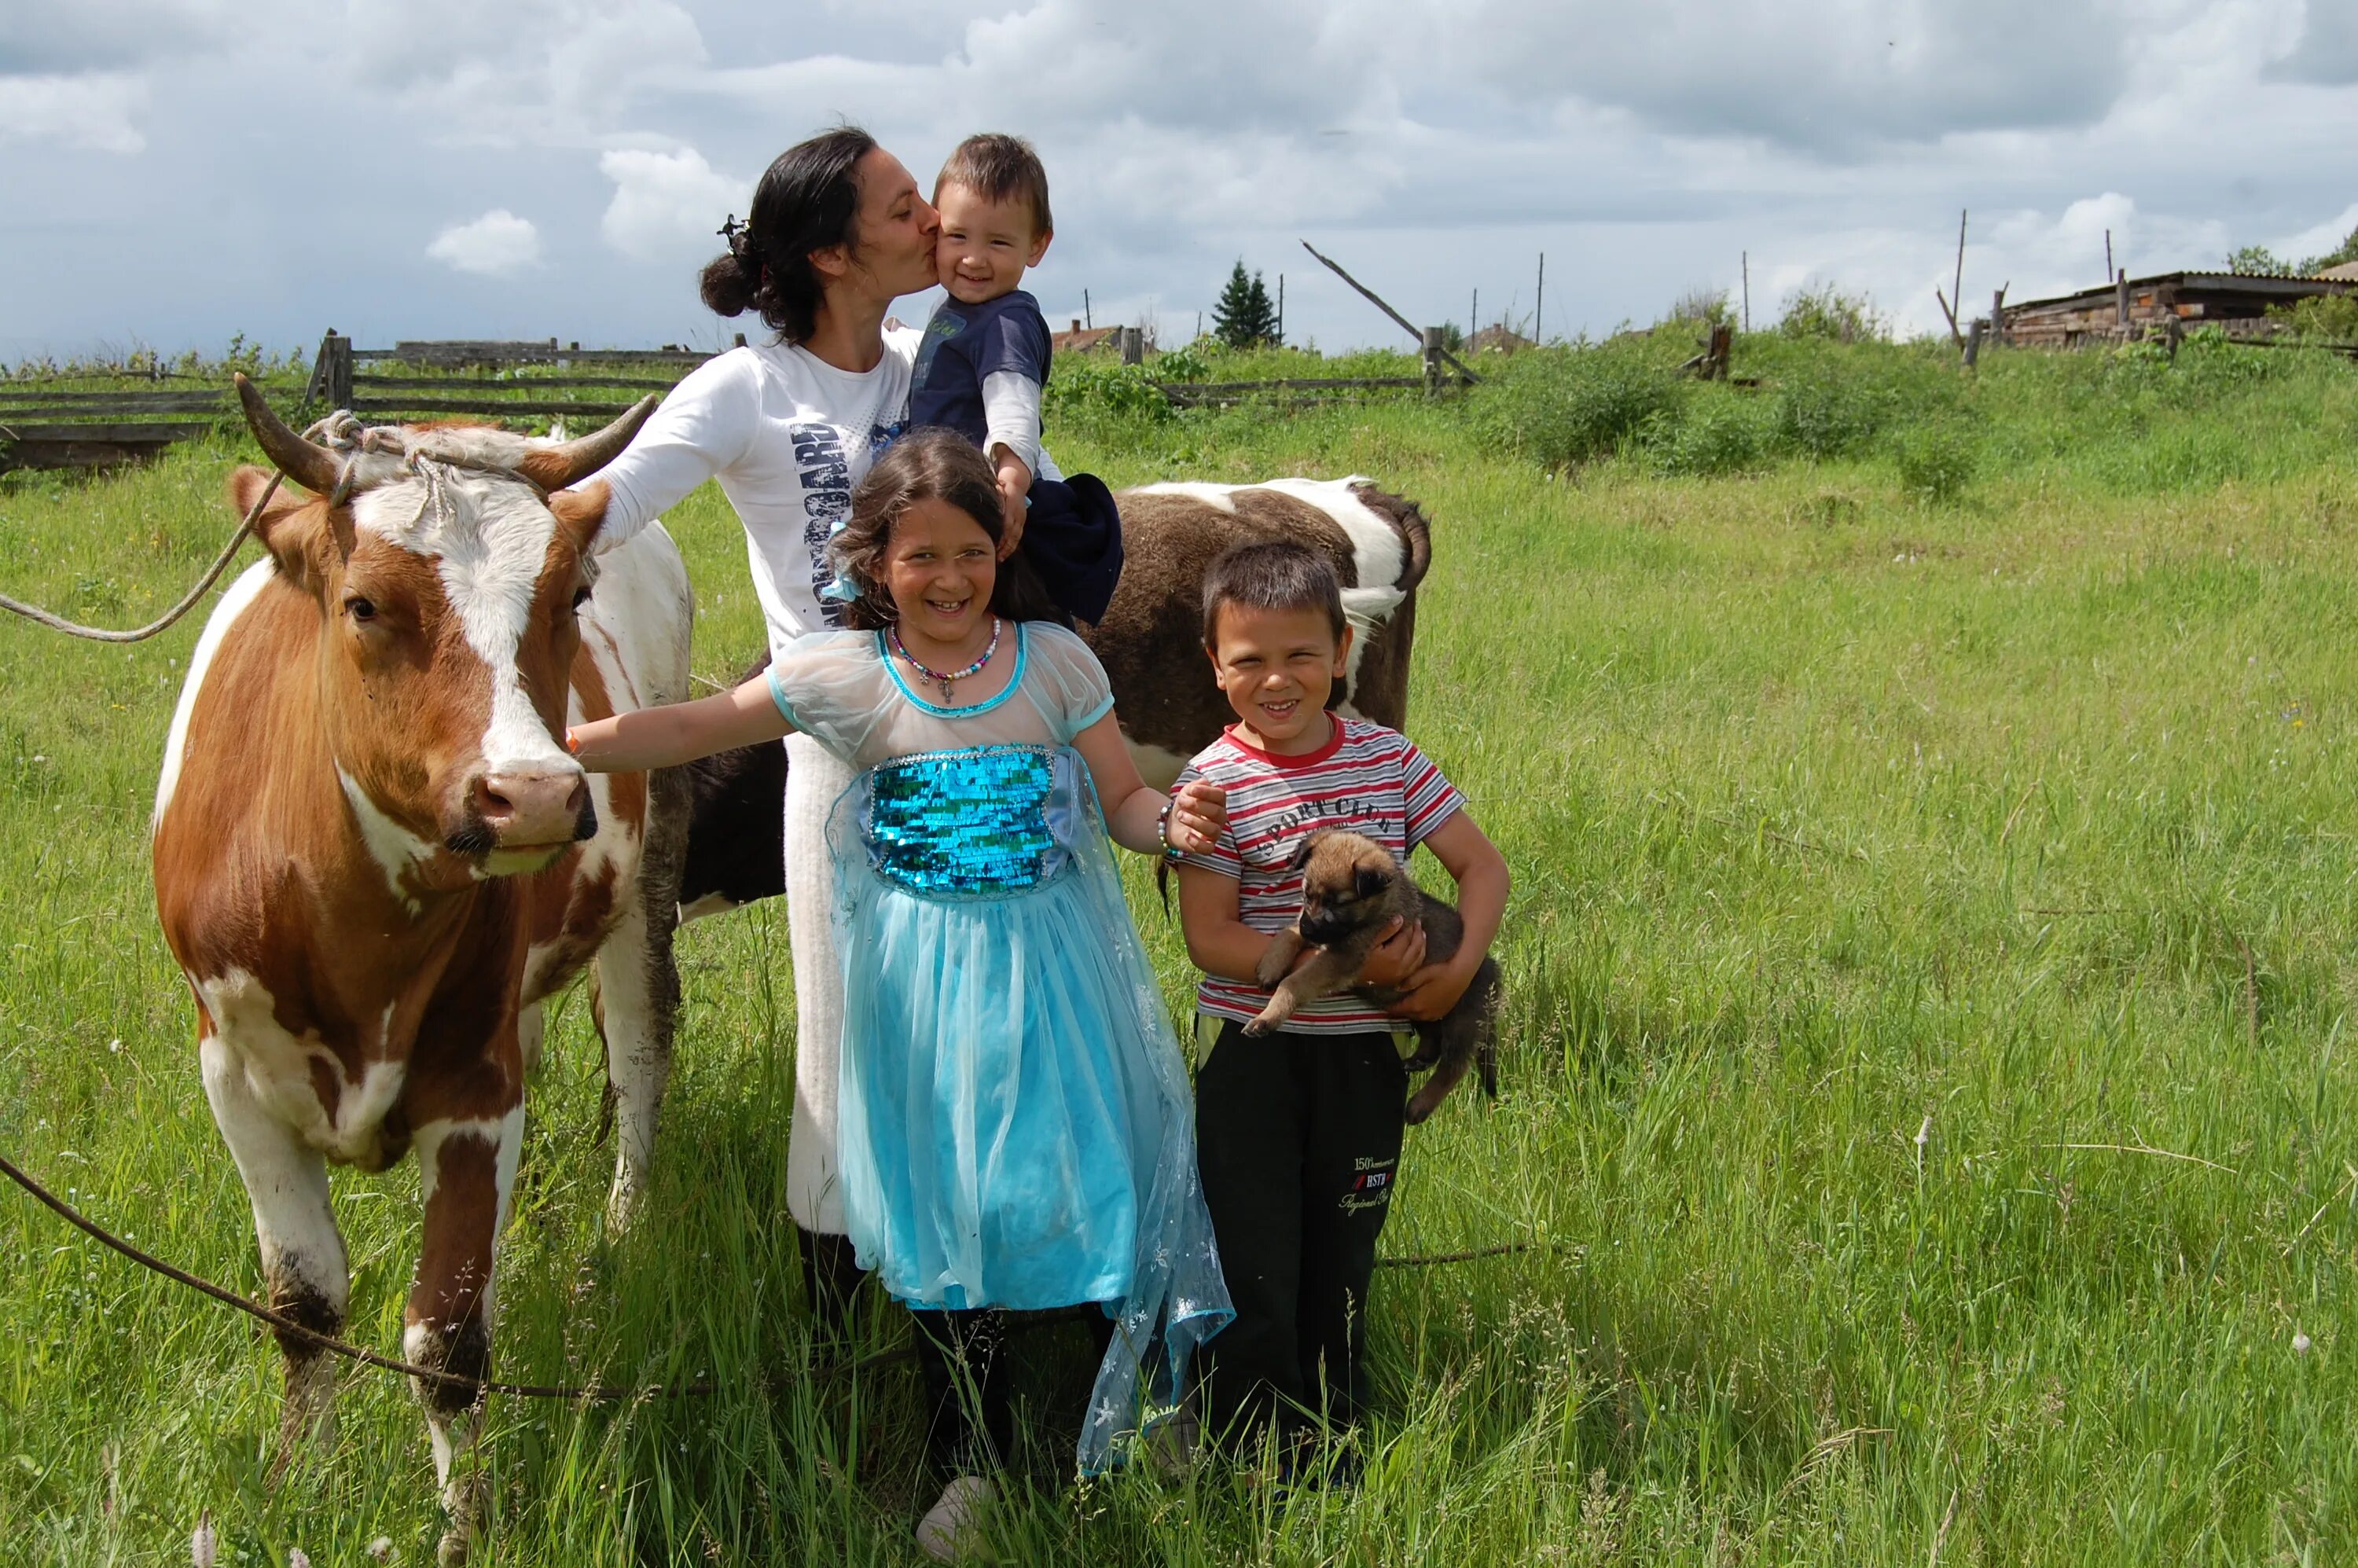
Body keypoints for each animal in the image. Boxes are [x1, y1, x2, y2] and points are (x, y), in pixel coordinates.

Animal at [152, 382, 689, 1566]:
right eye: (362, 603)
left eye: (570, 594)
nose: (532, 795)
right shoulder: (230, 1077)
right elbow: (304, 1303)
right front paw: (297, 1480)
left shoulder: (471, 1090)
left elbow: (445, 1337)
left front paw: (464, 1525)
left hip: (647, 870)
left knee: (637, 1045)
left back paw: (627, 1219)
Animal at [1245, 825, 1500, 1118]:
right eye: (1307, 894)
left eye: (1337, 903)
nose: (1309, 929)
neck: (1380, 906)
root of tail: (1492, 970)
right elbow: (1289, 933)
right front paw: (1271, 964)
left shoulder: (1342, 956)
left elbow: (1294, 982)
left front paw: (1267, 1017)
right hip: (1423, 1007)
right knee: (1432, 1038)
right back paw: (1418, 1061)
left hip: (1462, 1019)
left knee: (1454, 1065)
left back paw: (1420, 1105)